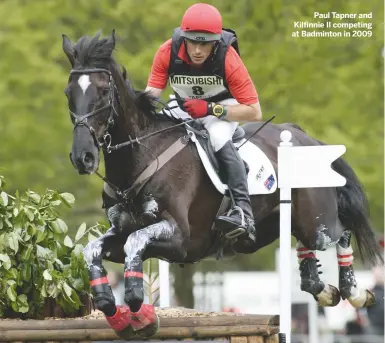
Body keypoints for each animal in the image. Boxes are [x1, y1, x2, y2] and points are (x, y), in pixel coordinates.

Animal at [61, 30, 380, 340]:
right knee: (308, 259)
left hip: (314, 222)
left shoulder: (180, 239)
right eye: (68, 93)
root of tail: (304, 137)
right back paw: (324, 290)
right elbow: (94, 249)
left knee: (340, 233)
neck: (142, 156)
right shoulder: (121, 231)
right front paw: (113, 310)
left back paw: (356, 292)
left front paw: (141, 312)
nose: (82, 157)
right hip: (265, 232)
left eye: (104, 91)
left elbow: (134, 243)